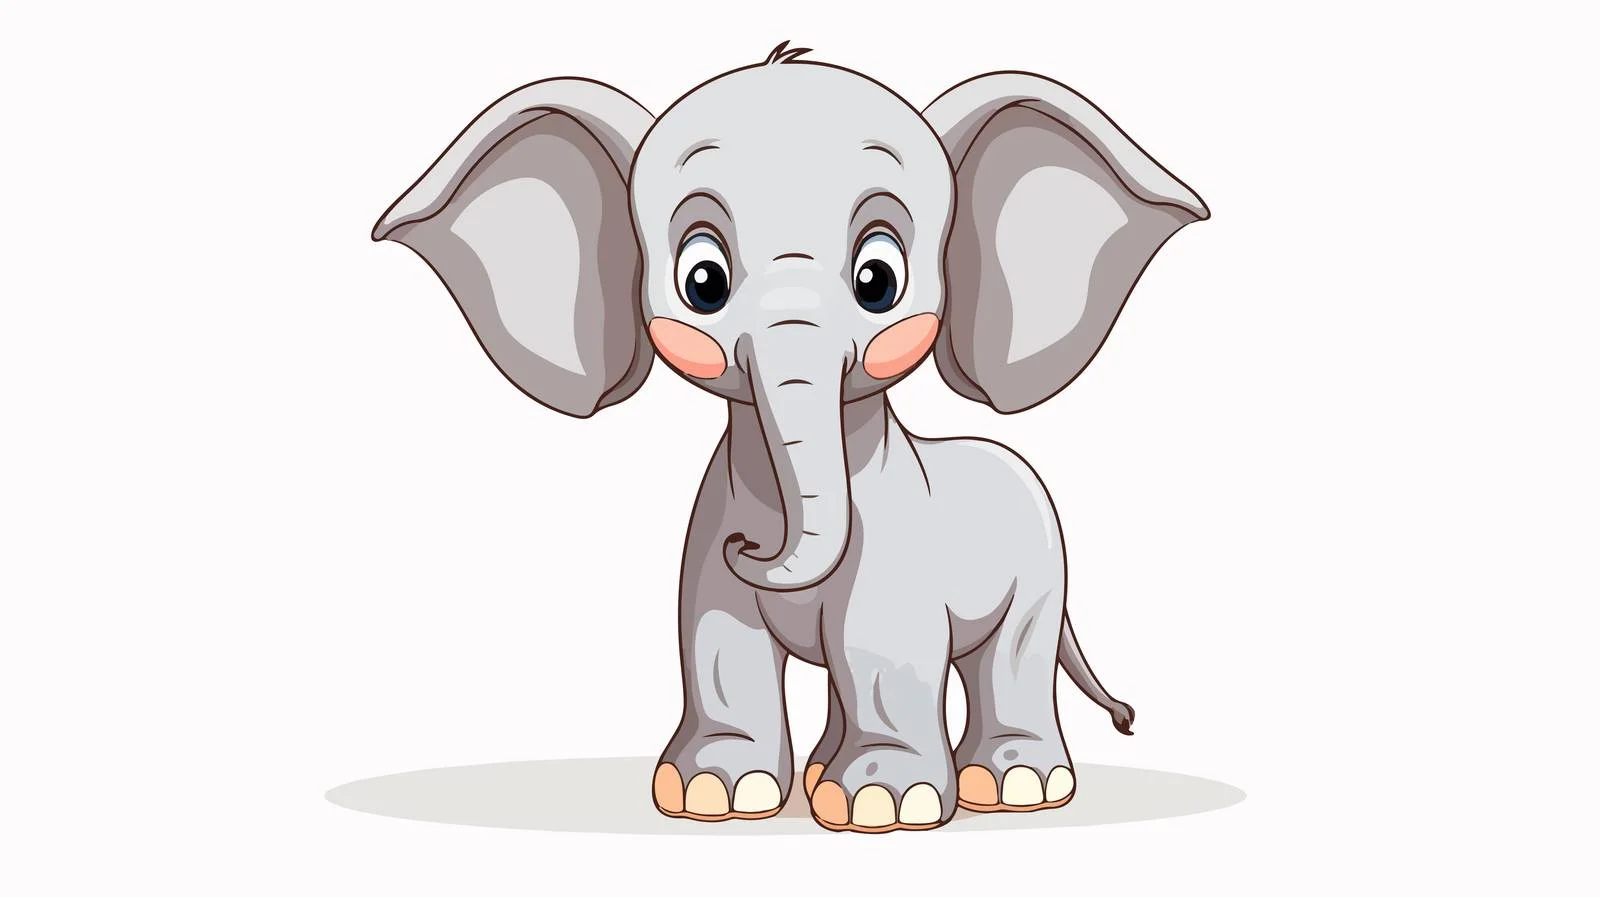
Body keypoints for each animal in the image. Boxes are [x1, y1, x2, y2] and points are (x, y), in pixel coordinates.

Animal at [373, 42, 1207, 833]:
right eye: (702, 280)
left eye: (878, 280)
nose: (751, 545)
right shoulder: (709, 527)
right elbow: (717, 636)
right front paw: (712, 792)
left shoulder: (895, 550)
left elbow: (878, 647)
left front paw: (887, 806)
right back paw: (822, 779)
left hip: (1042, 569)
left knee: (1007, 658)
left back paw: (1013, 787)